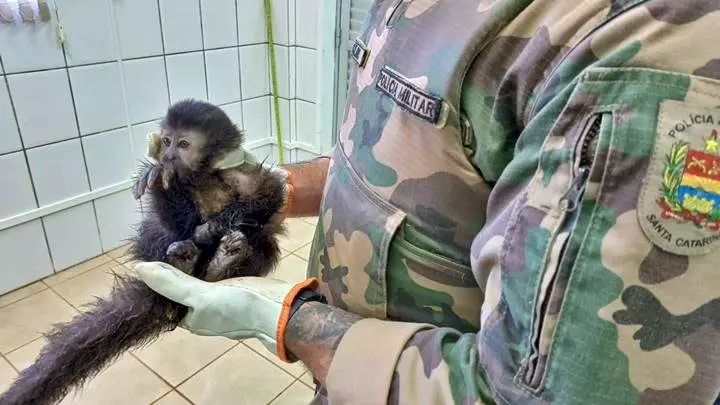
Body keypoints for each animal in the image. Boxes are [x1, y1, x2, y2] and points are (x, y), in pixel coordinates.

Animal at [0, 98, 286, 404]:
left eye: (183, 144)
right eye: (167, 141)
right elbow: (178, 224)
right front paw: (160, 180)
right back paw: (185, 261)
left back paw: (219, 266)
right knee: (157, 229)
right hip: (155, 251)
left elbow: (270, 197)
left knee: (263, 239)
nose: (168, 156)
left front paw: (217, 225)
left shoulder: (241, 173)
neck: (203, 176)